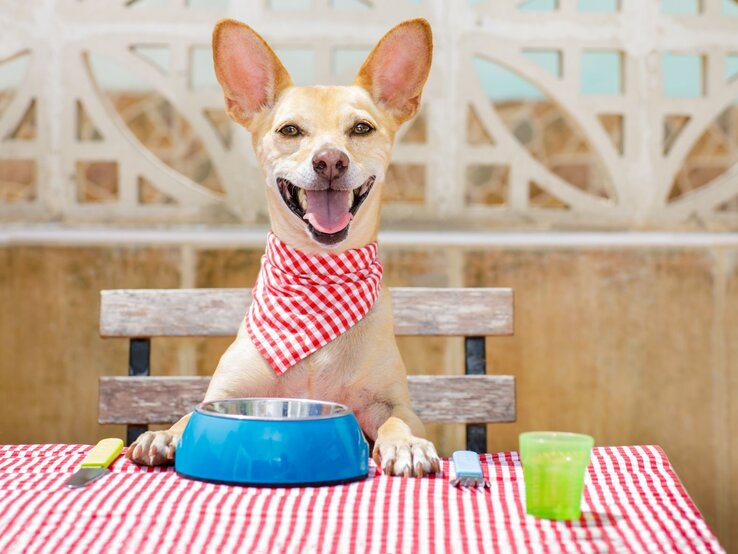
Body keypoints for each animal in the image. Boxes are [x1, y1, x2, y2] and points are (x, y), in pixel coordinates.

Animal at [126, 16, 436, 474]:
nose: (330, 160)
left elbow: (398, 419)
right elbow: (188, 415)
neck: (317, 277)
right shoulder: (225, 393)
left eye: (361, 128)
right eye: (290, 130)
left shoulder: (393, 402)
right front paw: (164, 433)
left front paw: (407, 444)